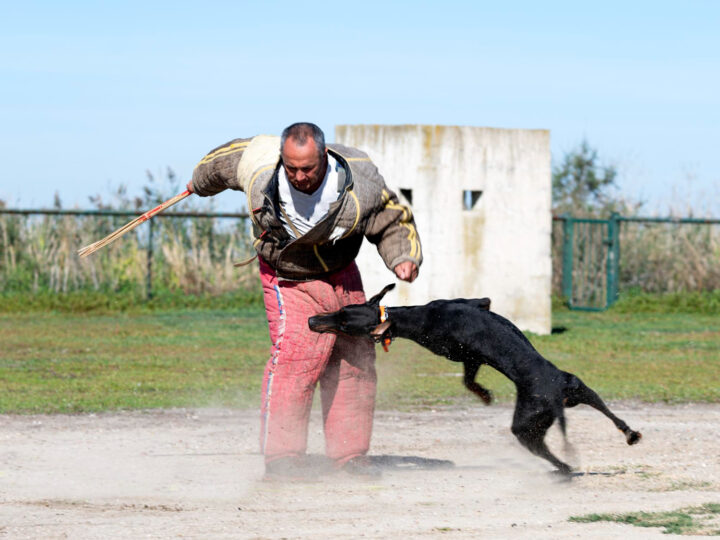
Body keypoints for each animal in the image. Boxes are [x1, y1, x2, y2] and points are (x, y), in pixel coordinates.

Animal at [308, 284, 640, 474]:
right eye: (340, 309)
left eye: (343, 322)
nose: (312, 320)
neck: (416, 316)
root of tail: (555, 393)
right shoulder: (476, 330)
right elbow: (469, 377)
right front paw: (484, 394)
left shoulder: (459, 352)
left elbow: (467, 381)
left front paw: (485, 395)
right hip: (578, 387)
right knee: (609, 413)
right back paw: (629, 434)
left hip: (525, 425)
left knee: (545, 450)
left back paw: (565, 468)